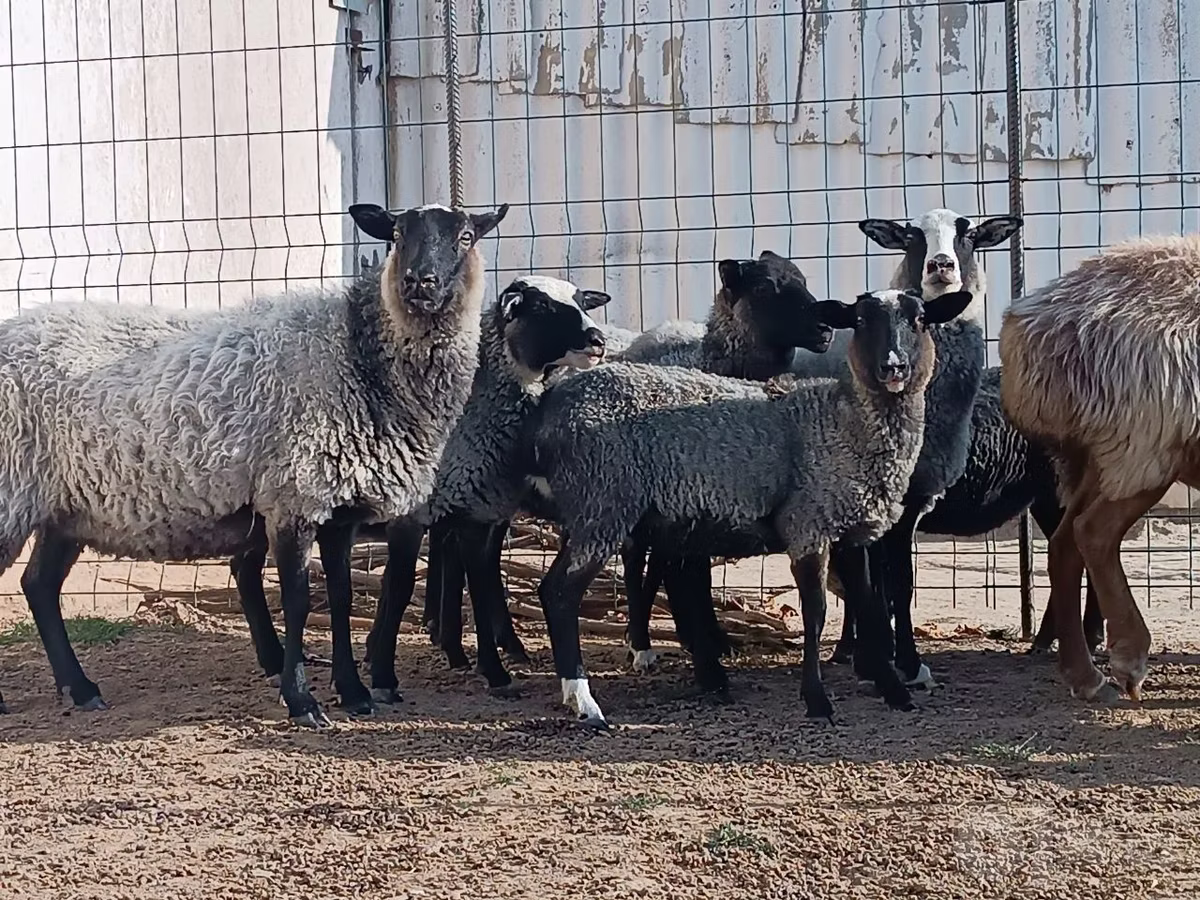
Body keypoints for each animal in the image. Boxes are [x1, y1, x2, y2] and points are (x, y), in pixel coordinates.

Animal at [0, 199, 508, 727]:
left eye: (466, 236)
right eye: (397, 234)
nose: (420, 282)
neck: (355, 355)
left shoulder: (338, 507)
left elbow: (342, 598)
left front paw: (353, 693)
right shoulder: (293, 497)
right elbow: (298, 601)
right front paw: (302, 701)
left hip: (64, 508)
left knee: (38, 586)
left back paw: (81, 689)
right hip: (10, 491)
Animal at [527, 287, 975, 726]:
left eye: (920, 319)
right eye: (861, 320)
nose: (893, 367)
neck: (842, 420)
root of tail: (554, 404)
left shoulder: (851, 530)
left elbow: (868, 604)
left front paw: (894, 690)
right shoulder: (808, 525)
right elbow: (816, 612)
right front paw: (817, 700)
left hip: (609, 510)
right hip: (603, 503)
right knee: (560, 592)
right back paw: (584, 700)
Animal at [999, 233, 1200, 703]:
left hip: (1101, 452)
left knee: (1063, 543)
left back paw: (1084, 676)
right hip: (1145, 444)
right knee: (1093, 533)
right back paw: (1127, 658)